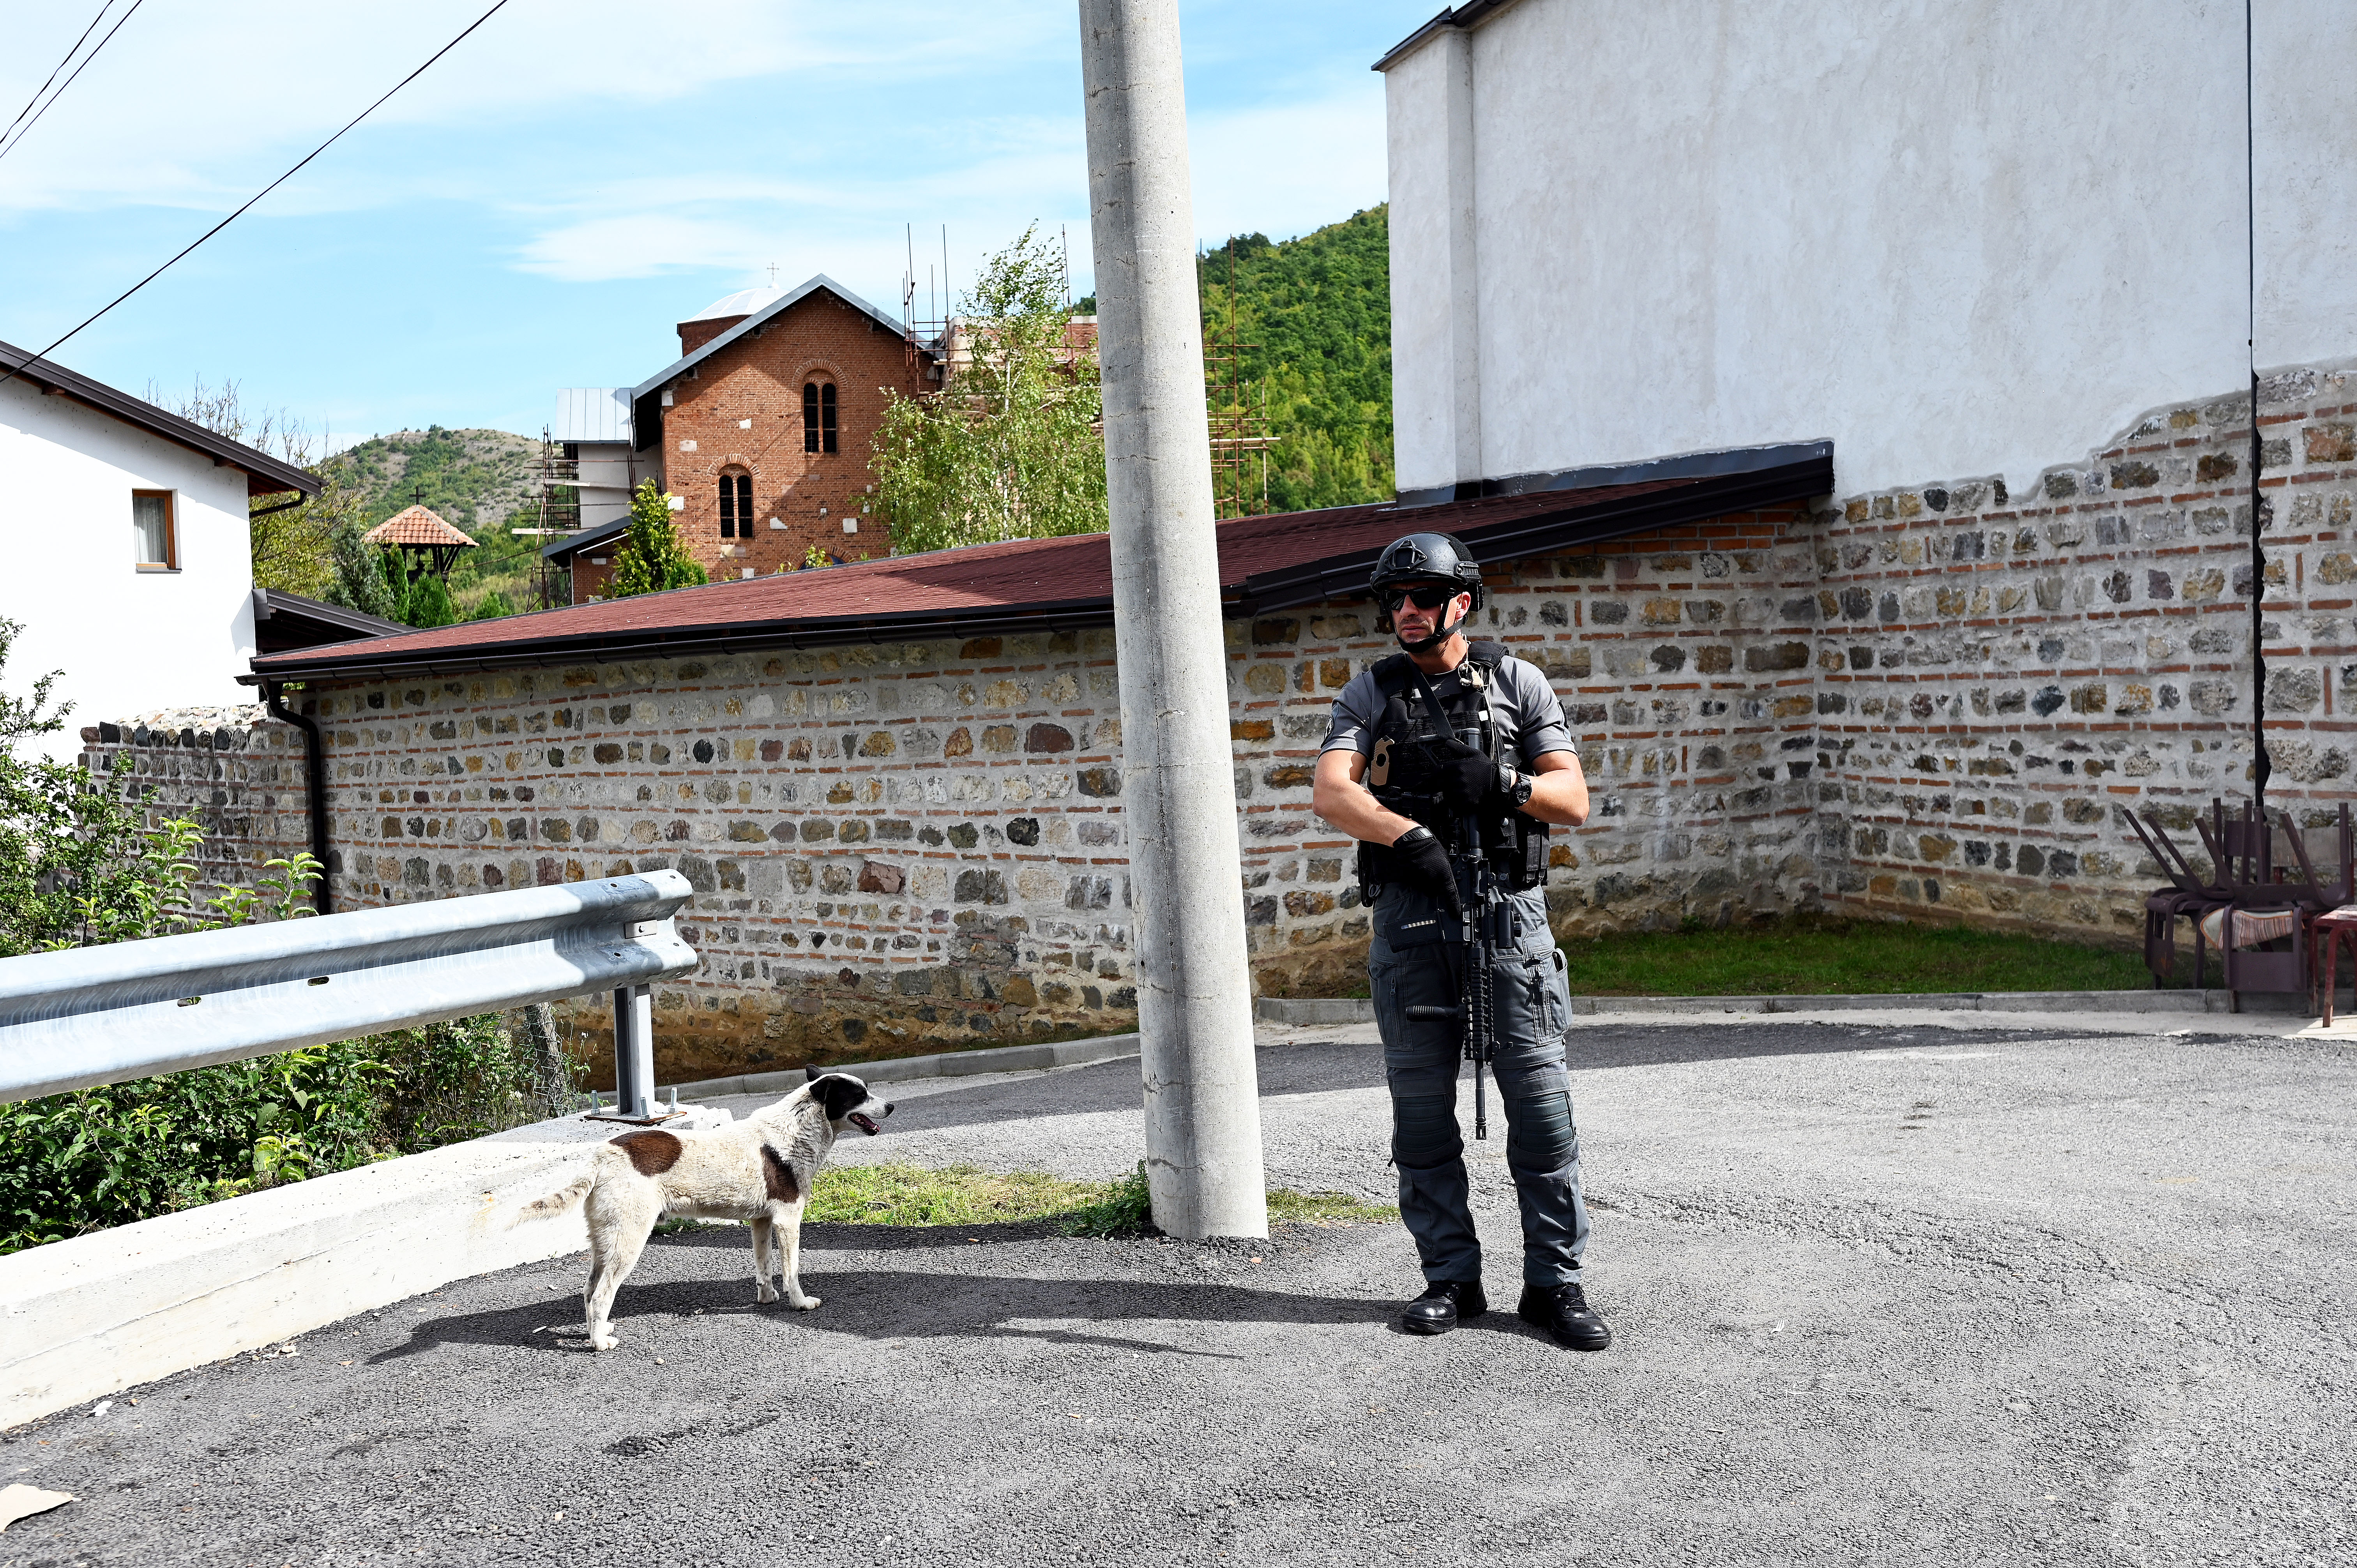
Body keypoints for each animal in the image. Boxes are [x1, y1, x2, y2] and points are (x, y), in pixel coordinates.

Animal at [516, 1070, 891, 1349]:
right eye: (860, 1095)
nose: (889, 1108)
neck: (799, 1128)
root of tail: (600, 1158)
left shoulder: (761, 1221)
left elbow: (765, 1267)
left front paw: (766, 1299)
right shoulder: (787, 1221)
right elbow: (792, 1271)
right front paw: (800, 1303)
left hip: (605, 1242)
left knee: (589, 1290)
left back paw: (599, 1330)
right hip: (629, 1241)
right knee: (602, 1294)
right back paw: (599, 1344)